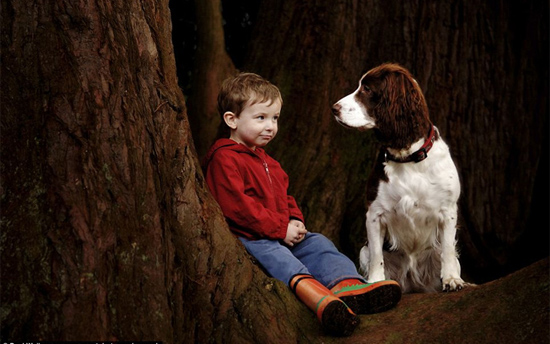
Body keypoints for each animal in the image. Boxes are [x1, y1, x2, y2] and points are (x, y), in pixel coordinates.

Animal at [334, 63, 468, 292]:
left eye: (367, 89)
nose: (334, 108)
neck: (408, 158)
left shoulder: (448, 210)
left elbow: (449, 249)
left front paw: (452, 279)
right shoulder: (374, 213)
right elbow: (377, 255)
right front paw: (376, 282)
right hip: (364, 251)